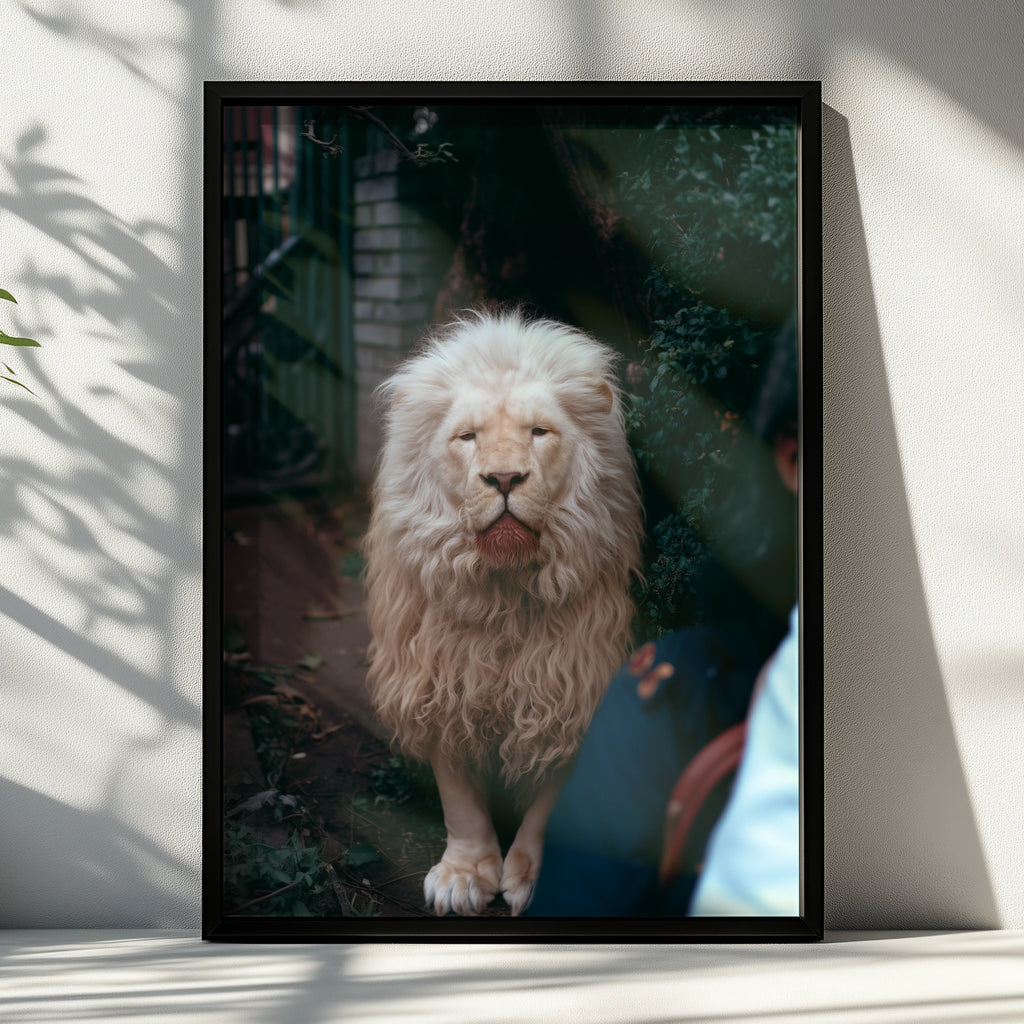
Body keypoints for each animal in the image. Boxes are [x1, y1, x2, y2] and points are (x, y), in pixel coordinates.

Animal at [363, 310, 643, 916]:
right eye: (467, 437)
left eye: (539, 432)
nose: (505, 479)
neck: (505, 594)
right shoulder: (438, 674)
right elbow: (459, 799)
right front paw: (465, 875)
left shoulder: (571, 684)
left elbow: (554, 799)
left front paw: (533, 876)